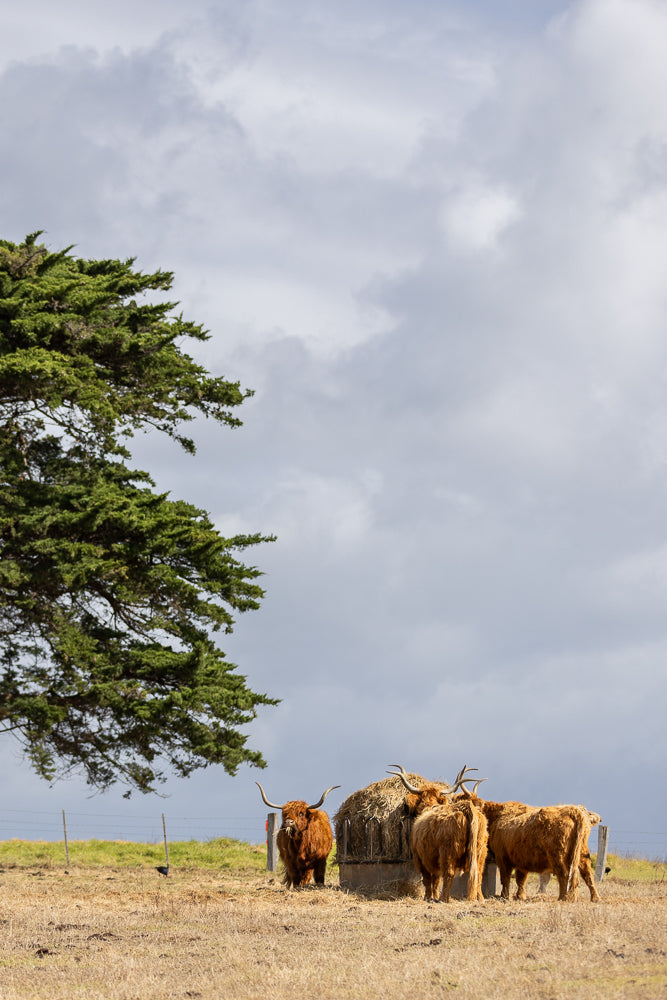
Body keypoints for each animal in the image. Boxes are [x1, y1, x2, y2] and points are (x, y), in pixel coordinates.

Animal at [388, 764, 488, 902]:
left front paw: (428, 897)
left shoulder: (420, 858)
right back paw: (479, 898)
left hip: (448, 852)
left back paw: (443, 898)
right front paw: (433, 896)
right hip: (479, 852)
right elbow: (436, 880)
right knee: (477, 874)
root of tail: (466, 806)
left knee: (449, 874)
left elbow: (428, 879)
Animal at [457, 788, 597, 902]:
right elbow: (521, 879)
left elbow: (505, 878)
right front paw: (520, 896)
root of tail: (574, 811)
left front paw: (504, 896)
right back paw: (595, 898)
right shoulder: (521, 860)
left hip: (558, 856)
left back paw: (563, 898)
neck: (497, 817)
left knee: (564, 875)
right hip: (582, 853)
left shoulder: (502, 858)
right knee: (588, 873)